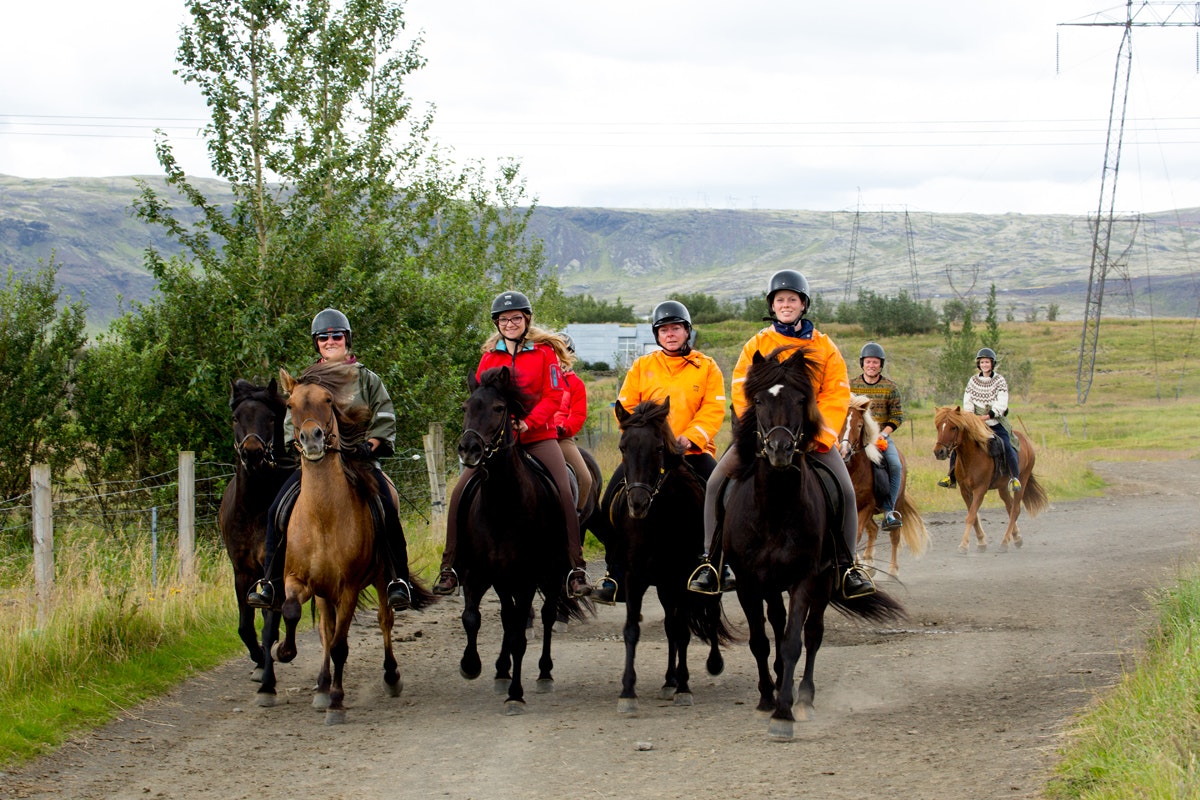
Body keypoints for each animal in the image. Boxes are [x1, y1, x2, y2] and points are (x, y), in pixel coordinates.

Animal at [451, 367, 588, 714]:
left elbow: (519, 637)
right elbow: (473, 618)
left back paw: (544, 674)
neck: (502, 505)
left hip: (551, 575)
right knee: (508, 618)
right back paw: (501, 670)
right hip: (505, 580)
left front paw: (516, 694)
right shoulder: (479, 573)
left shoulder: (526, 578)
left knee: (547, 615)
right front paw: (471, 665)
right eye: (465, 407)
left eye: (500, 408)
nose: (469, 449)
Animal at [720, 347, 902, 743]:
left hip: (823, 580)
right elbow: (760, 639)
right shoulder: (748, 582)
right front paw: (766, 699)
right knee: (776, 622)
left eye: (801, 399)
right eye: (758, 400)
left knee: (813, 633)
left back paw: (803, 698)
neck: (774, 507)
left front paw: (784, 713)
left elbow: (794, 642)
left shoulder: (805, 579)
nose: (780, 449)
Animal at [840, 398, 931, 578]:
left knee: (894, 536)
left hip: (897, 504)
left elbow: (857, 535)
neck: (853, 472)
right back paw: (868, 564)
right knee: (873, 530)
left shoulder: (866, 507)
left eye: (859, 425)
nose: (845, 452)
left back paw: (892, 570)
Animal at [931, 410, 1046, 554]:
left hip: (1023, 481)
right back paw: (1017, 538)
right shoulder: (965, 491)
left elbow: (971, 516)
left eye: (954, 427)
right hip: (1003, 487)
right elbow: (973, 516)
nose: (939, 452)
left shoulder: (980, 490)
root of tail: (1026, 440)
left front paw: (963, 545)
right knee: (1009, 507)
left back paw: (1005, 542)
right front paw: (981, 542)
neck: (972, 457)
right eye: (938, 427)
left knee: (1015, 510)